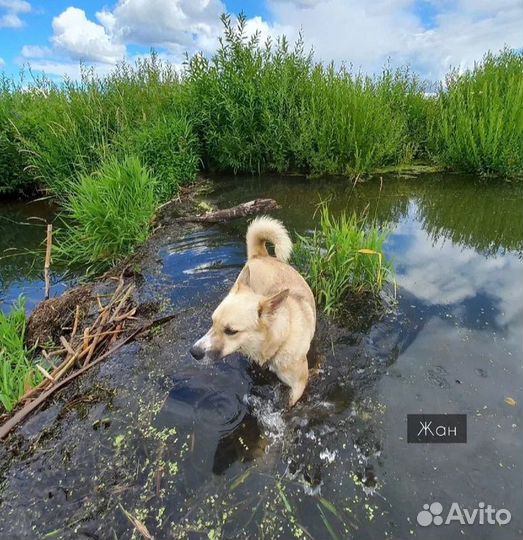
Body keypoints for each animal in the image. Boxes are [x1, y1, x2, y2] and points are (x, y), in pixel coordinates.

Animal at [190, 215, 318, 404]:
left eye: (231, 331)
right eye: (212, 322)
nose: (194, 352)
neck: (281, 338)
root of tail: (261, 255)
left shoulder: (297, 387)